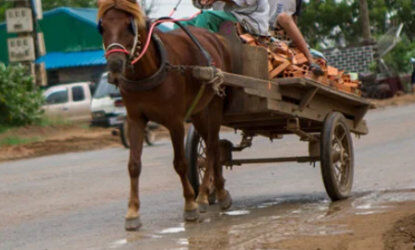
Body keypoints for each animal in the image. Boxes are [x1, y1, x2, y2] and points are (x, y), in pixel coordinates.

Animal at [98, 0, 234, 230]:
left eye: (129, 26)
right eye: (102, 27)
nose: (115, 64)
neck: (147, 72)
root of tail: (216, 38)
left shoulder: (175, 122)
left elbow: (180, 163)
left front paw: (189, 205)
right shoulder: (135, 119)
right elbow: (134, 165)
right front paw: (132, 212)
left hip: (215, 102)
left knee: (213, 148)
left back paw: (213, 195)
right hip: (199, 110)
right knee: (210, 147)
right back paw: (210, 193)